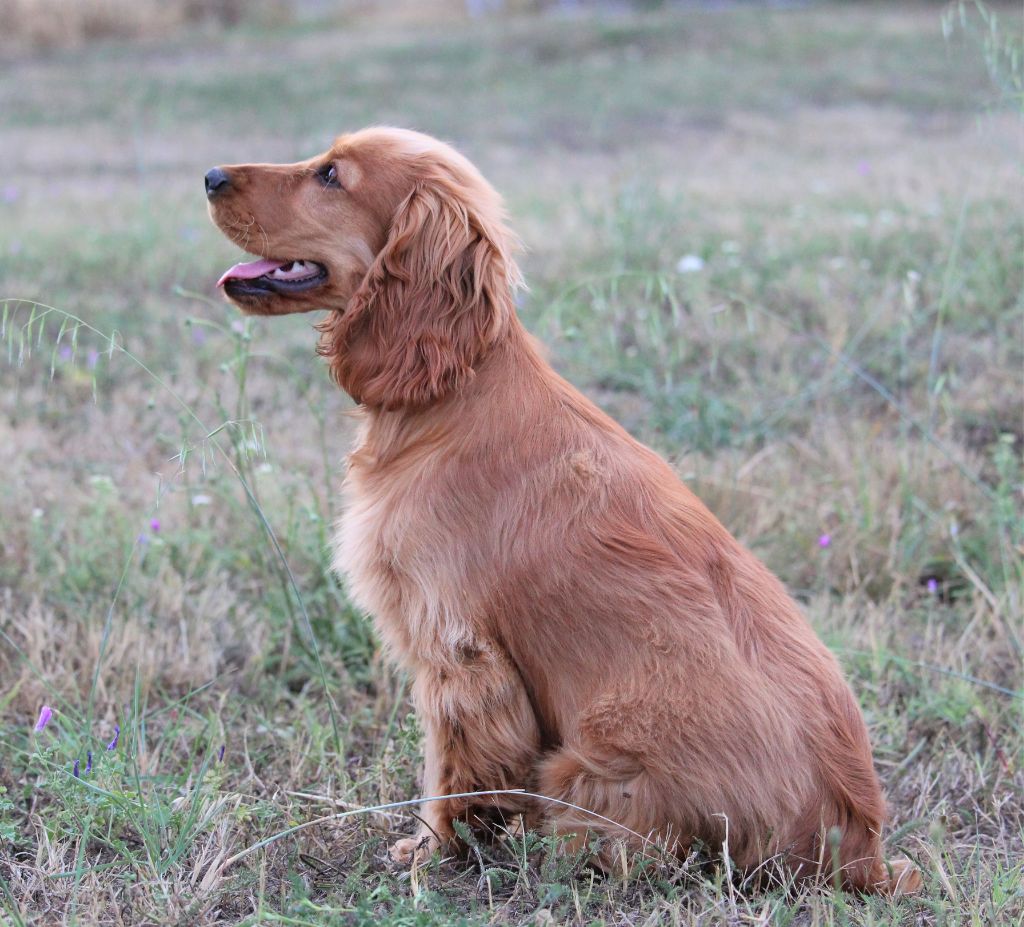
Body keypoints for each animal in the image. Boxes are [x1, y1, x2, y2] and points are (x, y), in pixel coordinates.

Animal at [205, 126, 921, 893]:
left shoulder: (458, 652)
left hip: (590, 768)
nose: (212, 176)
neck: (457, 390)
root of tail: (862, 850)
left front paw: (429, 851)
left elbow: (447, 769)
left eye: (332, 175)